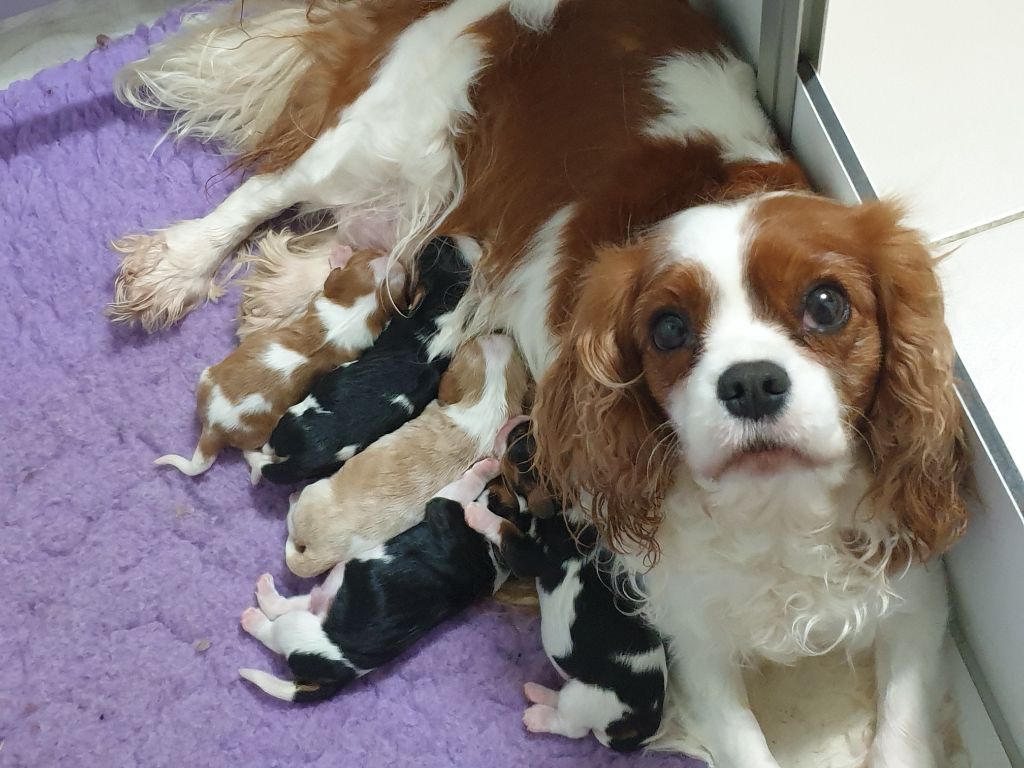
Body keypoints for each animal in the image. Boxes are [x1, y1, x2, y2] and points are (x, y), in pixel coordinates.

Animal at [238, 457, 510, 703]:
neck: (492, 551)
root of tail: (342, 675)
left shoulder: (444, 505)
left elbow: (467, 485)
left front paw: (488, 467)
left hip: (298, 628)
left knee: (272, 632)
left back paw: (252, 618)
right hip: (327, 597)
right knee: (287, 604)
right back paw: (266, 590)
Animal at [260, 237, 471, 484]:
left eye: (427, 261)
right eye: (452, 255)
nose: (437, 238)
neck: (446, 307)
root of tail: (308, 457)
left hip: (290, 420)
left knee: (267, 449)